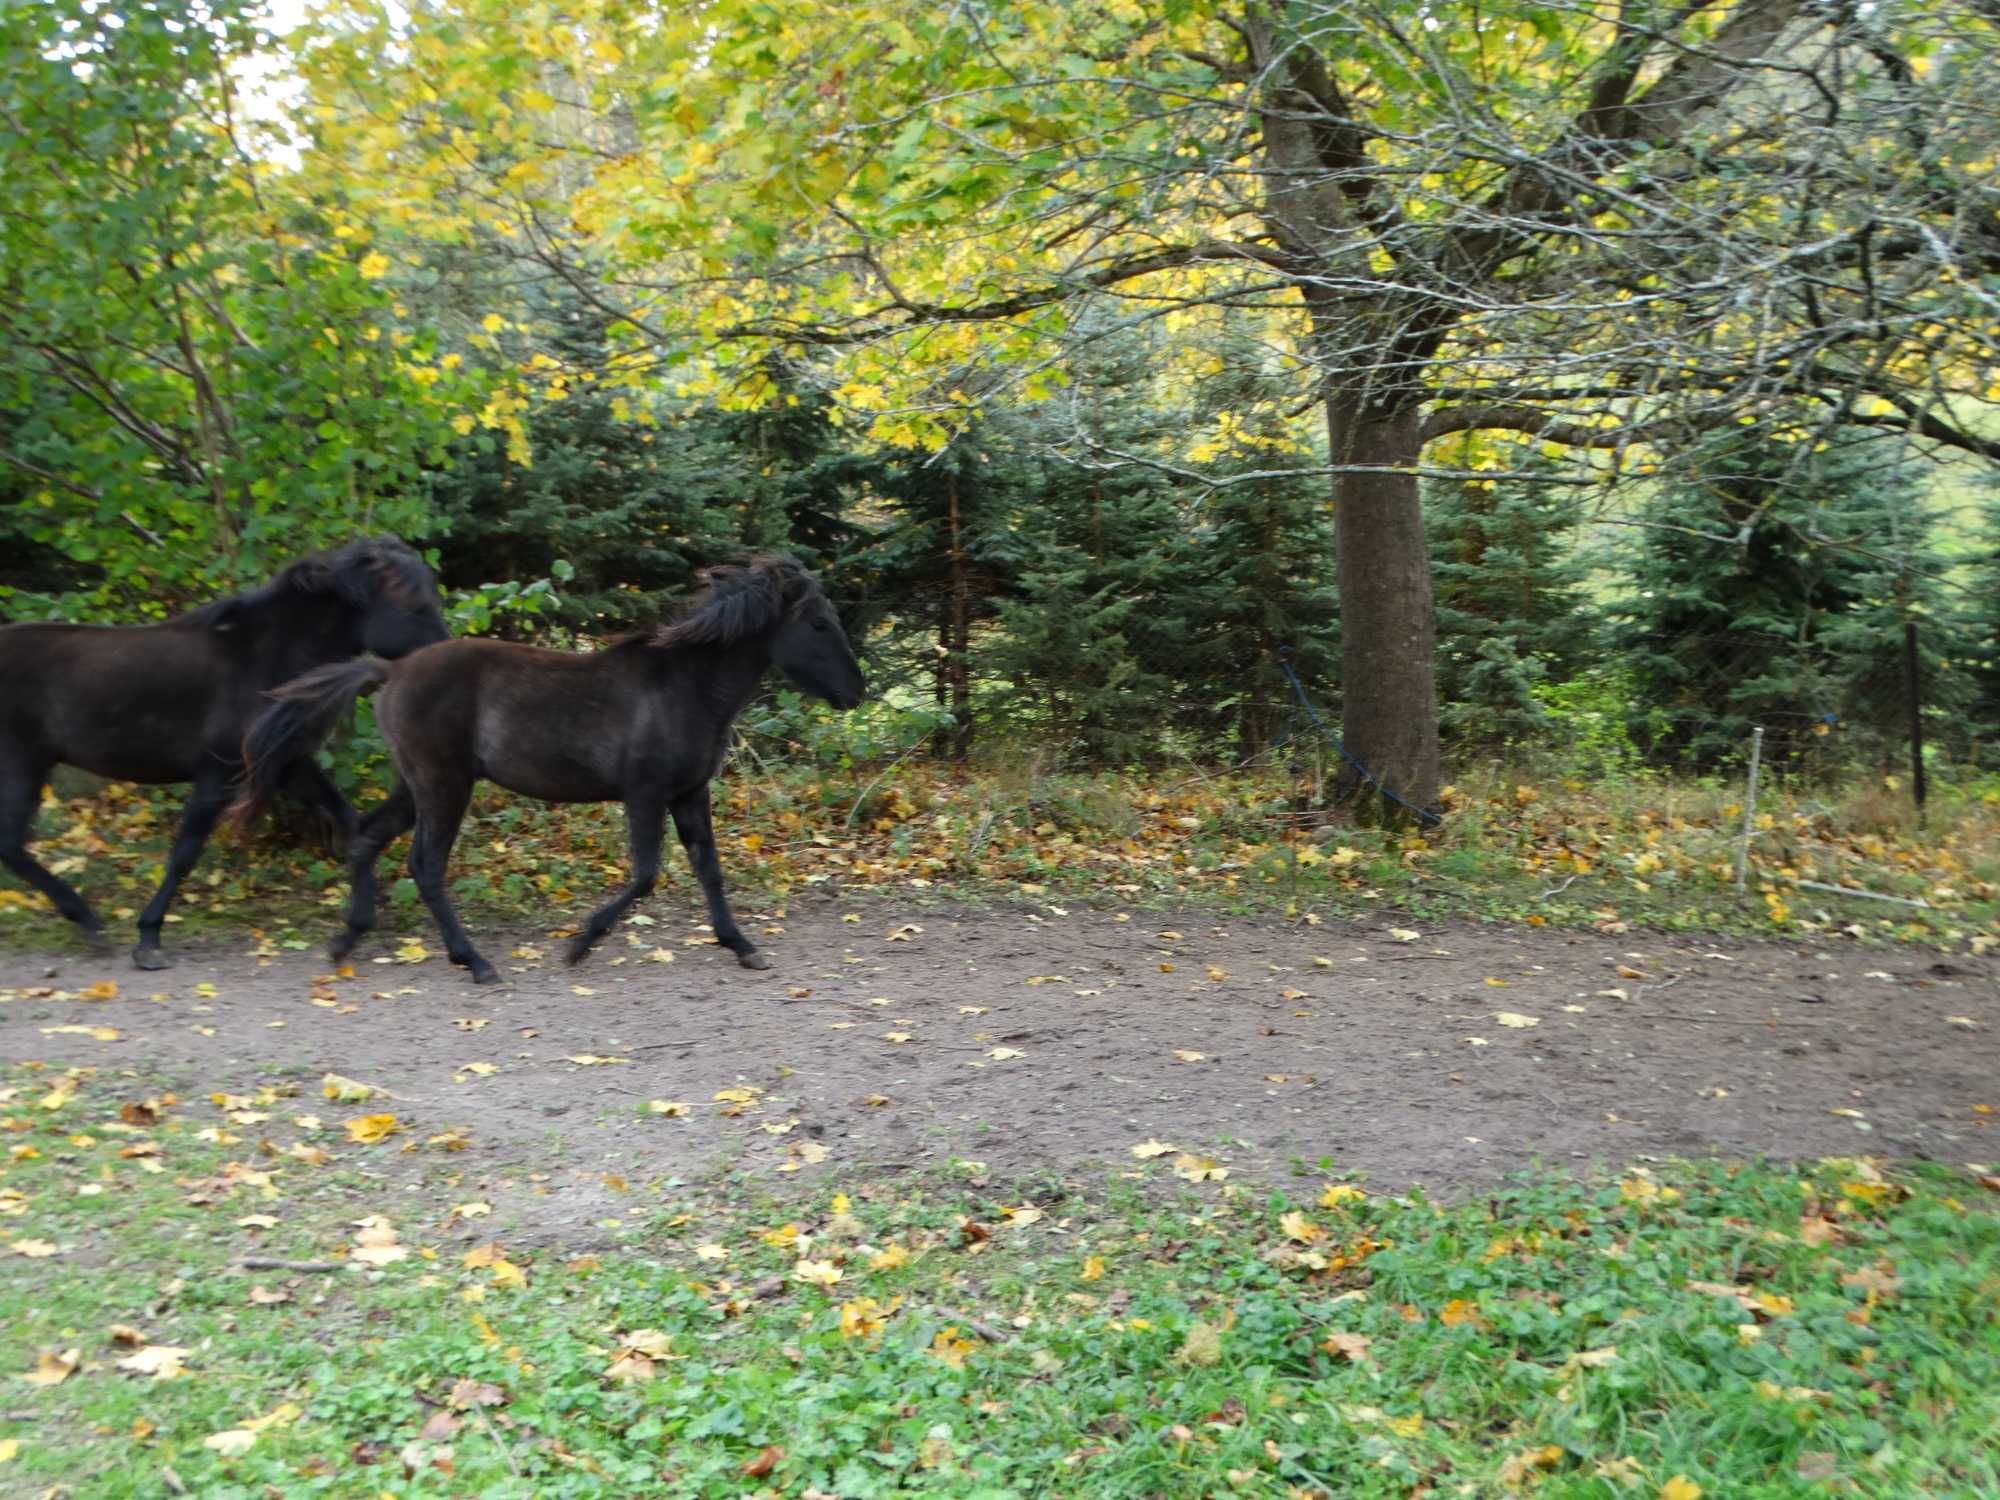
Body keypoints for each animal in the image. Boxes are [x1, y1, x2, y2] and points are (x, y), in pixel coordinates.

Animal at [0, 540, 446, 976]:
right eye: (416, 606)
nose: (447, 658)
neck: (267, 657)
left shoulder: (288, 763)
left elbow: (350, 822)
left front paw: (367, 910)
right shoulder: (220, 772)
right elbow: (184, 854)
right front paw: (149, 939)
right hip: (22, 763)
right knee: (10, 844)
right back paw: (88, 921)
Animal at [234, 552, 860, 988]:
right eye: (818, 623)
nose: (856, 692)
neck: (684, 687)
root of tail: (391, 672)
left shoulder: (689, 793)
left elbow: (709, 869)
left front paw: (742, 946)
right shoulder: (645, 792)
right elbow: (646, 874)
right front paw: (578, 945)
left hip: (414, 785)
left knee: (367, 838)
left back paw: (347, 941)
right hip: (444, 785)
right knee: (425, 866)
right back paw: (475, 962)